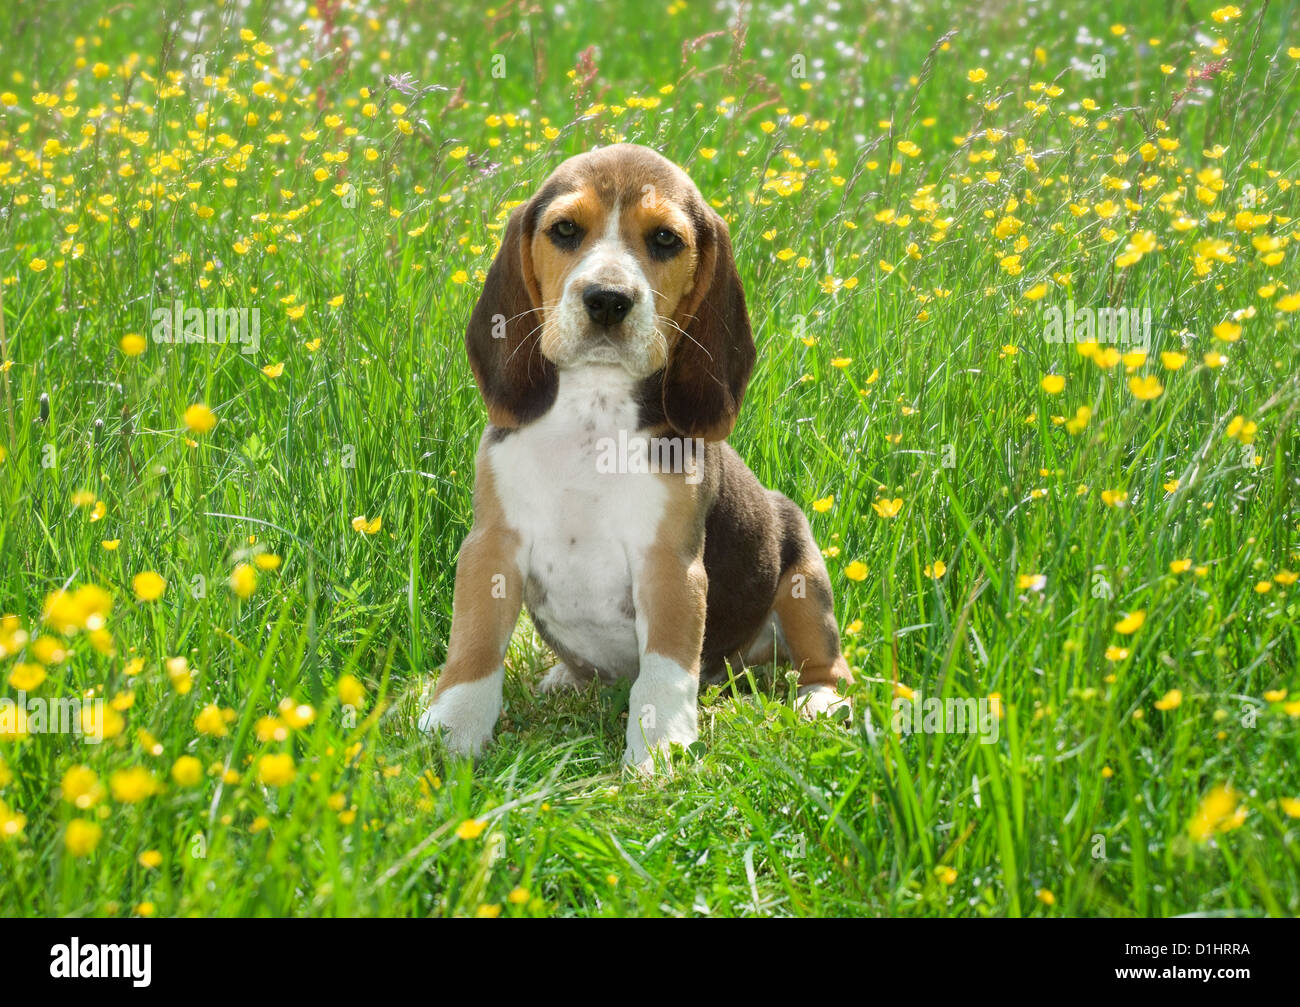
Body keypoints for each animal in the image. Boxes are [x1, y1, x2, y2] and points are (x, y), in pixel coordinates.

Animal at [416, 143, 857, 774]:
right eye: (565, 230)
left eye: (666, 240)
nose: (607, 299)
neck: (593, 413)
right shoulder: (491, 547)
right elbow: (474, 645)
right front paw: (452, 732)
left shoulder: (669, 565)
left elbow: (665, 671)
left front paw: (658, 750)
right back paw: (566, 678)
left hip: (803, 574)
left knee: (828, 662)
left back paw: (819, 700)